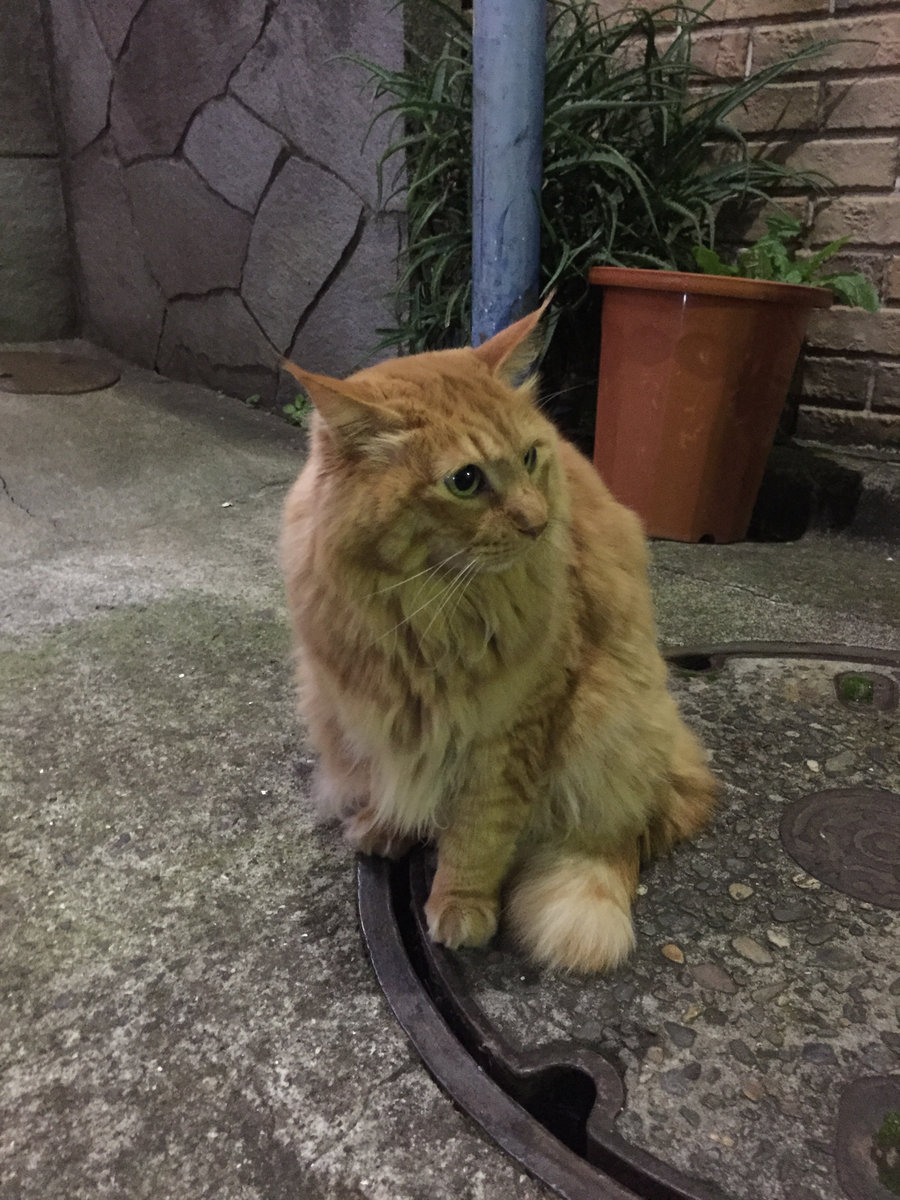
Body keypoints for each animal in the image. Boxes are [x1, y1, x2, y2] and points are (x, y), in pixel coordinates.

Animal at [280, 303, 717, 972]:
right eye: (464, 480)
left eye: (531, 457)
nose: (537, 522)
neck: (423, 611)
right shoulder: (375, 706)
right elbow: (394, 778)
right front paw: (389, 825)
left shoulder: (511, 728)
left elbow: (480, 832)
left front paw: (460, 903)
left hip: (613, 721)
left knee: (617, 831)